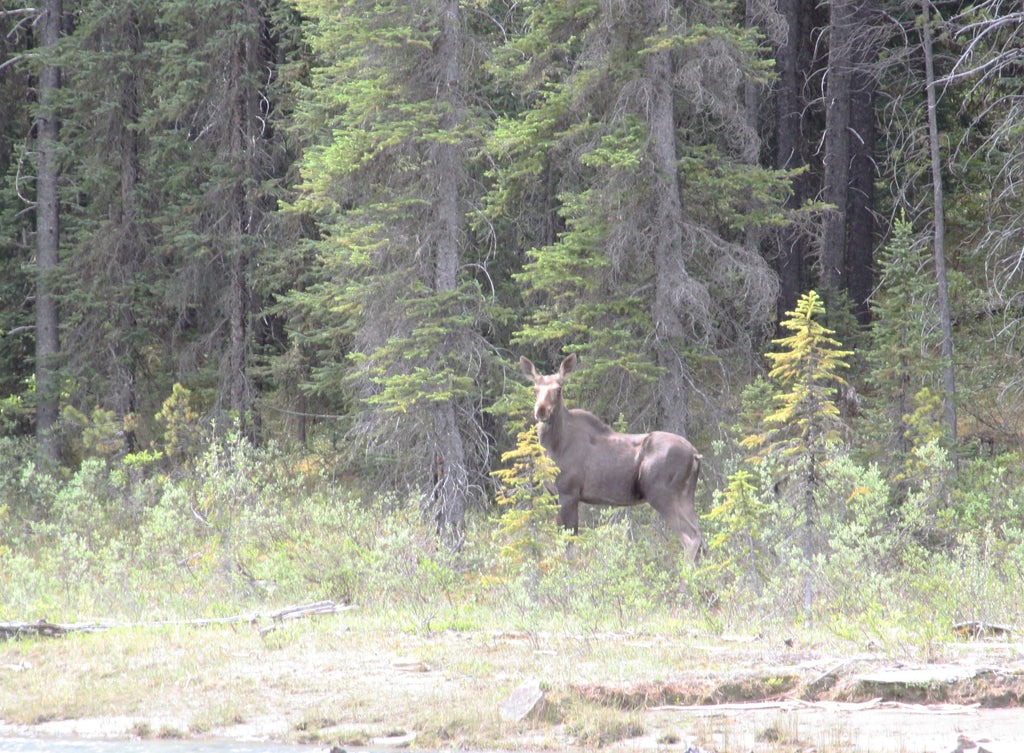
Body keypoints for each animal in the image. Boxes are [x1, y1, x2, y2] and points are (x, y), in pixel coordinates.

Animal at [520, 356, 704, 561]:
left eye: (559, 389)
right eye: (535, 389)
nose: (541, 410)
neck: (552, 449)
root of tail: (695, 455)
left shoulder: (569, 492)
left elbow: (569, 544)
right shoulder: (553, 494)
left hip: (662, 493)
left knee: (691, 538)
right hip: (685, 495)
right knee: (701, 538)